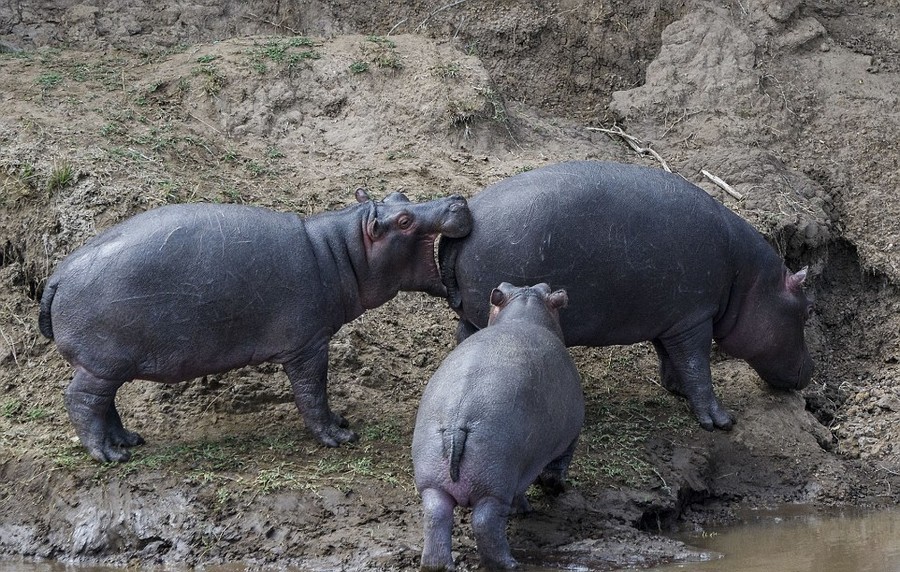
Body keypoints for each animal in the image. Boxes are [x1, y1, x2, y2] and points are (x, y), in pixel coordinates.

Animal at [38, 190, 474, 462]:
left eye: (401, 195)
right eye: (403, 219)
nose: (457, 199)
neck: (343, 250)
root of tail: (56, 276)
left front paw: (341, 422)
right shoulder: (308, 344)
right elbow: (313, 391)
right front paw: (339, 436)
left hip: (106, 365)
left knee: (104, 402)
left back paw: (127, 441)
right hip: (102, 362)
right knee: (80, 400)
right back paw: (109, 455)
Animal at [414, 282, 584, 572]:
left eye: (543, 287)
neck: (525, 311)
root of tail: (457, 422)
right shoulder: (567, 438)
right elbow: (554, 469)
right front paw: (544, 497)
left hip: (433, 484)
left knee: (436, 517)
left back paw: (438, 565)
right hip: (495, 486)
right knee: (486, 523)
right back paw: (510, 564)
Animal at [442, 160, 816, 428]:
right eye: (805, 311)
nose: (812, 370)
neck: (748, 280)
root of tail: (468, 220)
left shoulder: (670, 319)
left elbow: (671, 358)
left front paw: (676, 389)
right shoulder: (695, 319)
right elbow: (698, 366)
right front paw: (720, 421)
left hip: (476, 313)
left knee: (464, 334)